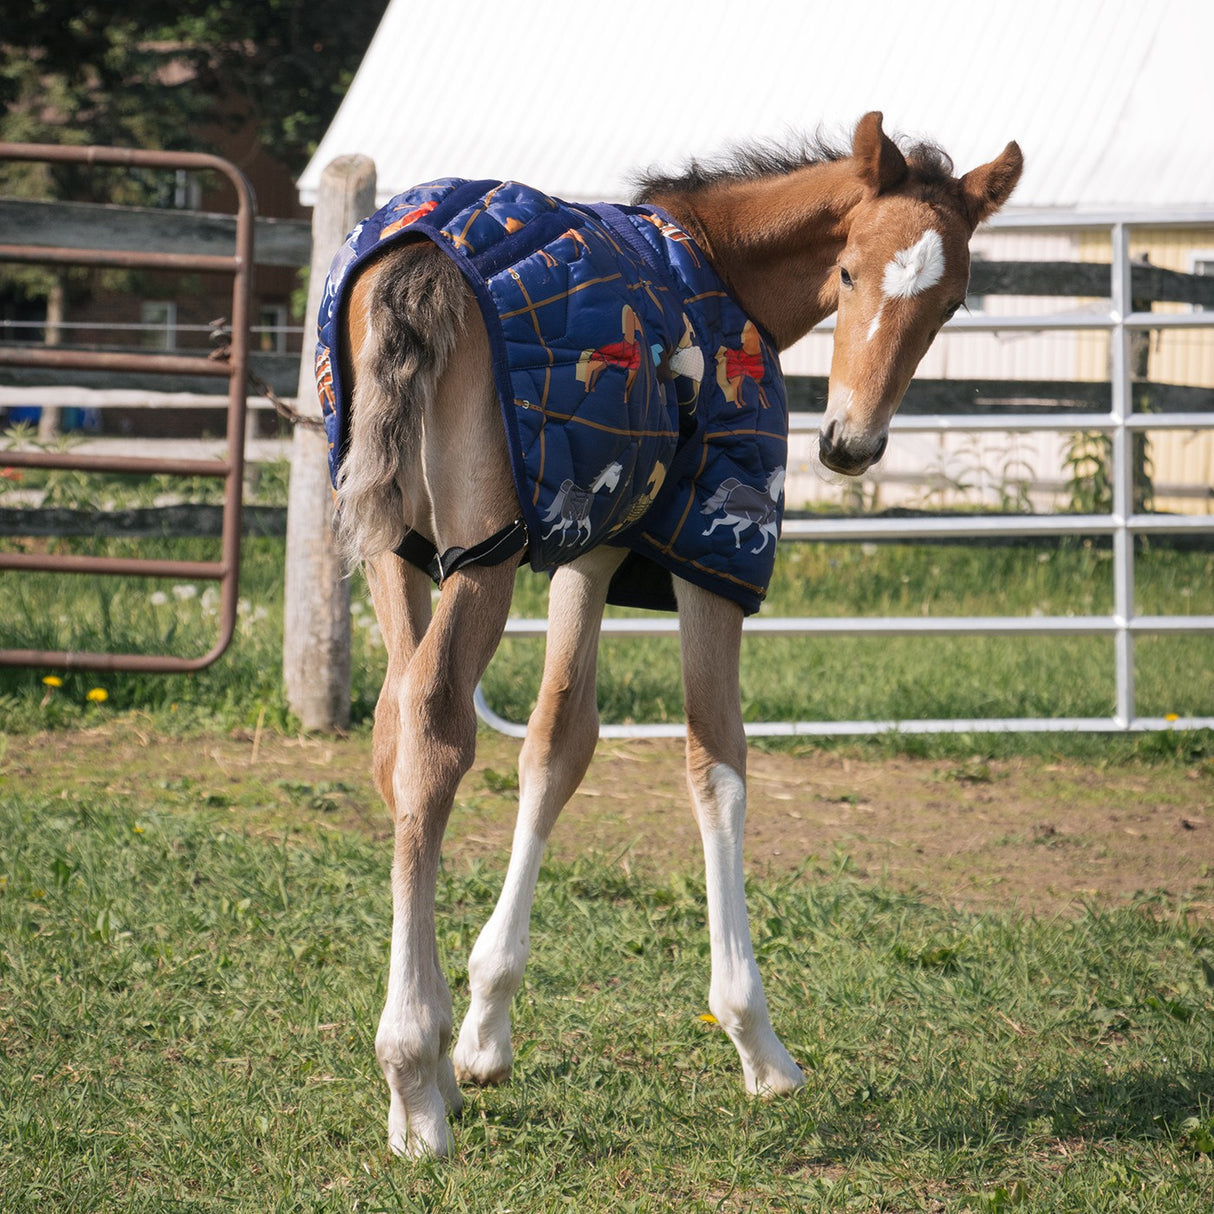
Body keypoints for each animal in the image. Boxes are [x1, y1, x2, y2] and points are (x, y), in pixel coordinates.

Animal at [318, 111, 1022, 1157]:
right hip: (481, 555)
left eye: (953, 300)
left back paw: (434, 1065)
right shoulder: (710, 552)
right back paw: (411, 1081)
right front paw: (759, 1044)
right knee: (436, 732)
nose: (848, 445)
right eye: (850, 271)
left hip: (395, 546)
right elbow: (714, 757)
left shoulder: (595, 543)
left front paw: (484, 1033)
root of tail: (414, 261)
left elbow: (557, 743)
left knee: (396, 731)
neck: (717, 268)